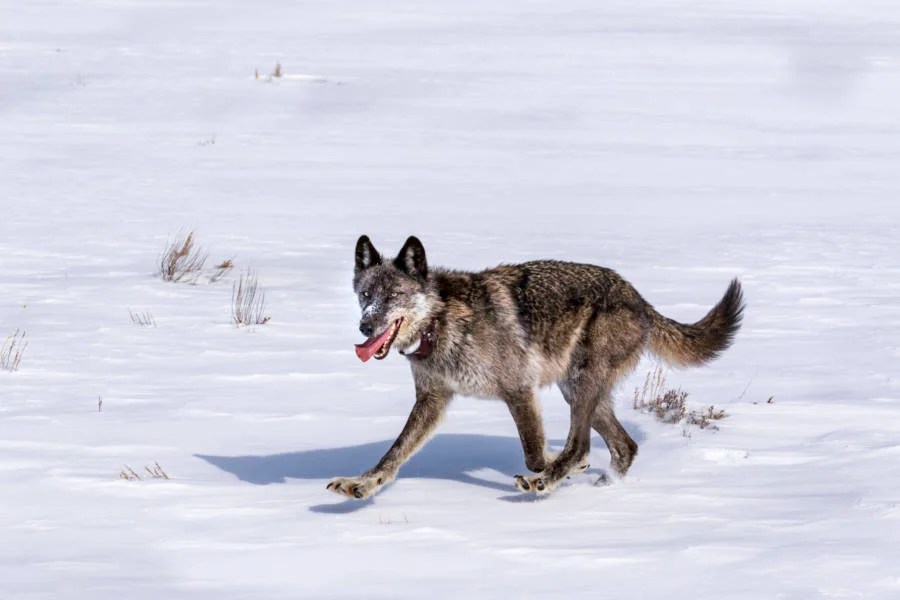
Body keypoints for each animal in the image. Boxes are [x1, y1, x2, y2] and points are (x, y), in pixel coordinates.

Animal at [327, 235, 744, 499]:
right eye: (366, 295)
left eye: (395, 295)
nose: (365, 326)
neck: (443, 323)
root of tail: (638, 296)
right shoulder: (432, 401)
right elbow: (393, 454)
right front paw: (362, 484)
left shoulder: (519, 390)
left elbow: (533, 453)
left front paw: (554, 470)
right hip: (578, 392)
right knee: (625, 446)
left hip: (581, 387)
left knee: (581, 444)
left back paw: (551, 480)